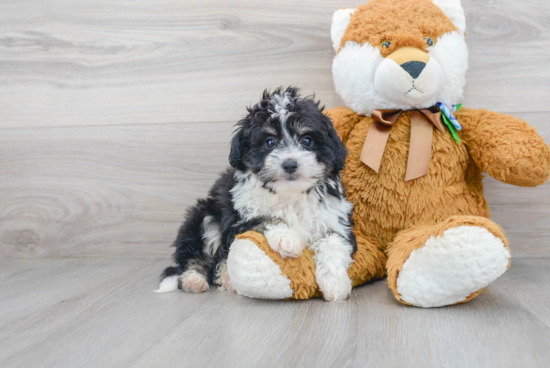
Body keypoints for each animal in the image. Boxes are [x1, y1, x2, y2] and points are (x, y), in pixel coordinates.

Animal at [156, 87, 358, 302]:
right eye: (270, 142)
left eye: (307, 140)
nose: (290, 164)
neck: (290, 193)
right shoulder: (238, 219)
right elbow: (266, 218)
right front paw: (288, 239)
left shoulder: (335, 219)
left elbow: (334, 242)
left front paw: (335, 284)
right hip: (204, 217)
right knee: (195, 257)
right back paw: (193, 279)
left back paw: (226, 278)